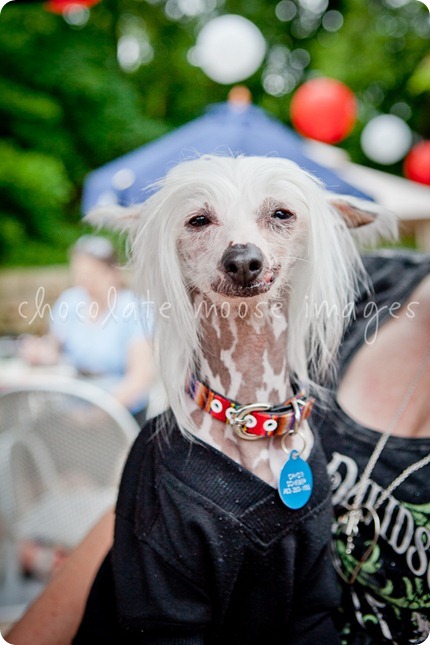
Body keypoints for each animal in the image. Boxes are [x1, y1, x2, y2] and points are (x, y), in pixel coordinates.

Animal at [74, 157, 396, 644]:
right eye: (198, 220)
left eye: (281, 214)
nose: (243, 259)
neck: (249, 415)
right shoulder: (164, 600)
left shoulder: (313, 601)